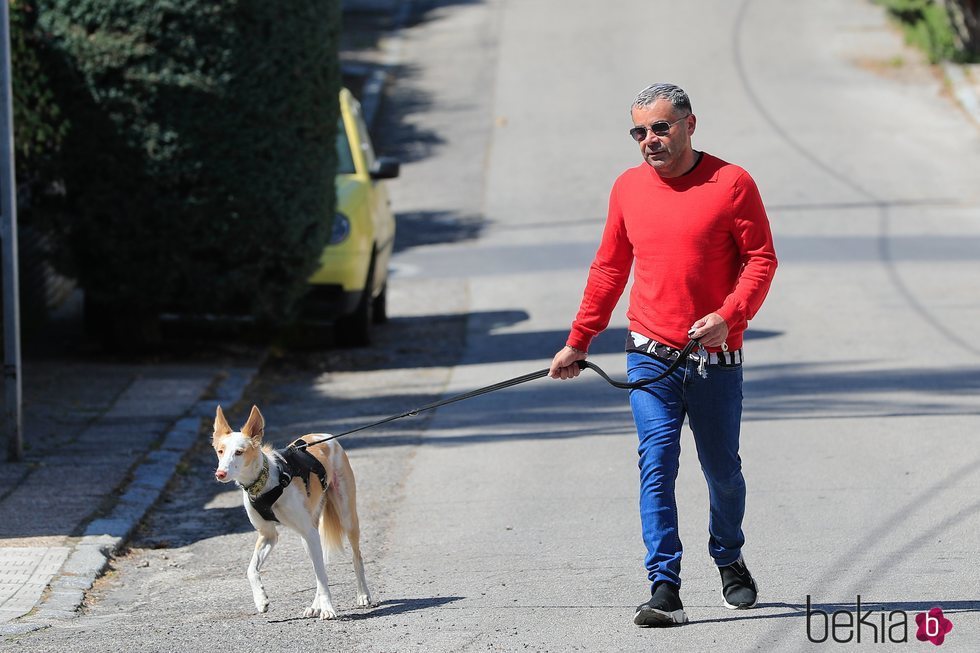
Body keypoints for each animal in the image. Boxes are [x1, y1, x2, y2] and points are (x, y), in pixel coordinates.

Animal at [212, 400, 372, 620]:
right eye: (220, 451)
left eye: (239, 452)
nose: (220, 474)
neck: (265, 483)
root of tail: (324, 436)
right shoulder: (268, 535)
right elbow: (251, 569)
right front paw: (261, 600)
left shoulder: (308, 532)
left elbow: (322, 576)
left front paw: (328, 608)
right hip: (308, 536)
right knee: (319, 568)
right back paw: (315, 606)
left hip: (346, 517)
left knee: (356, 558)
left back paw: (363, 594)